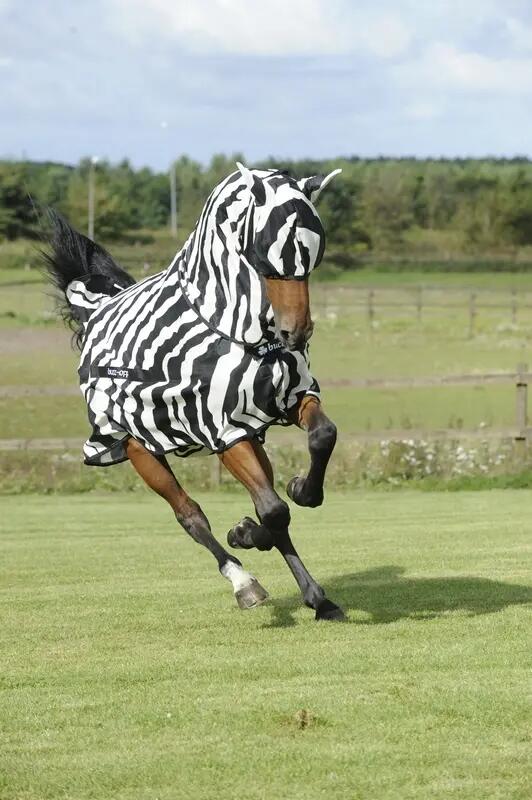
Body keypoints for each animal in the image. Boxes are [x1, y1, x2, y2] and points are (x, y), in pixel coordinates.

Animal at [43, 162, 345, 621]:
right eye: (267, 249)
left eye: (314, 251)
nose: (296, 332)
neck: (233, 331)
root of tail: (96, 311)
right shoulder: (224, 431)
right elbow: (273, 511)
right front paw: (249, 536)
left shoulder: (286, 401)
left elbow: (321, 439)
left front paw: (299, 492)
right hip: (139, 450)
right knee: (191, 516)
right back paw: (244, 582)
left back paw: (309, 590)